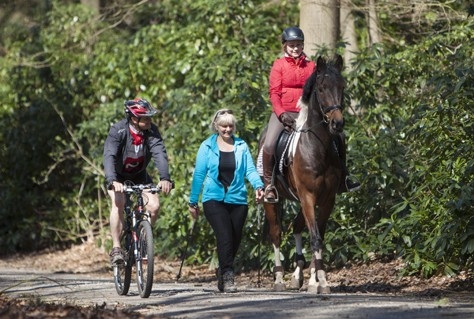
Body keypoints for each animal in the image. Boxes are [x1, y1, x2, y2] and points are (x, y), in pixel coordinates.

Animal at [260, 55, 344, 296]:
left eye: (342, 87)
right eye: (322, 88)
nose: (338, 123)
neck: (318, 147)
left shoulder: (327, 199)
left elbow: (319, 236)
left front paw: (315, 281)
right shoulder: (308, 196)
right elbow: (314, 237)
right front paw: (322, 282)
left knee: (296, 227)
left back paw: (298, 277)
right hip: (272, 200)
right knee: (277, 233)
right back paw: (279, 278)